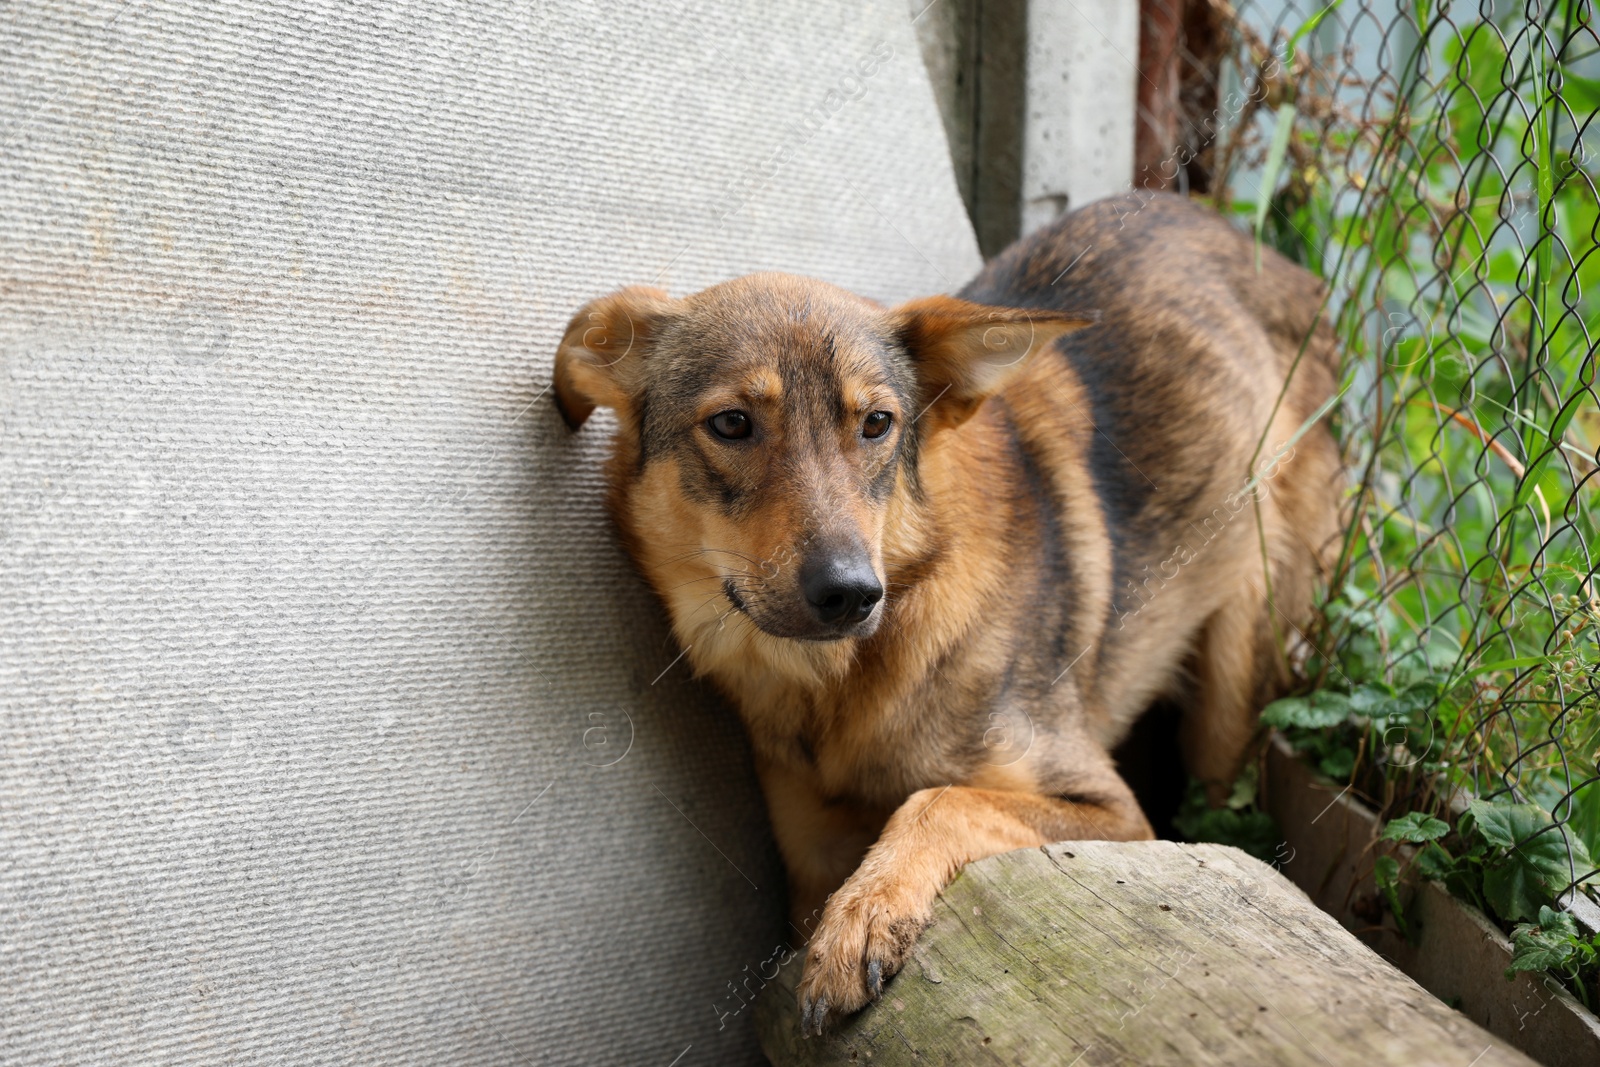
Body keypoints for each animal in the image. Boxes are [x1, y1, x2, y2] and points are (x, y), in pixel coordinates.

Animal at [550, 194, 1337, 1036]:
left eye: (876, 424)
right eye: (731, 424)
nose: (852, 592)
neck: (840, 688)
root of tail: (1246, 238)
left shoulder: (1115, 811)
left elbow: (939, 798)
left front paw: (867, 916)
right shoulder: (809, 864)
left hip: (1232, 695)